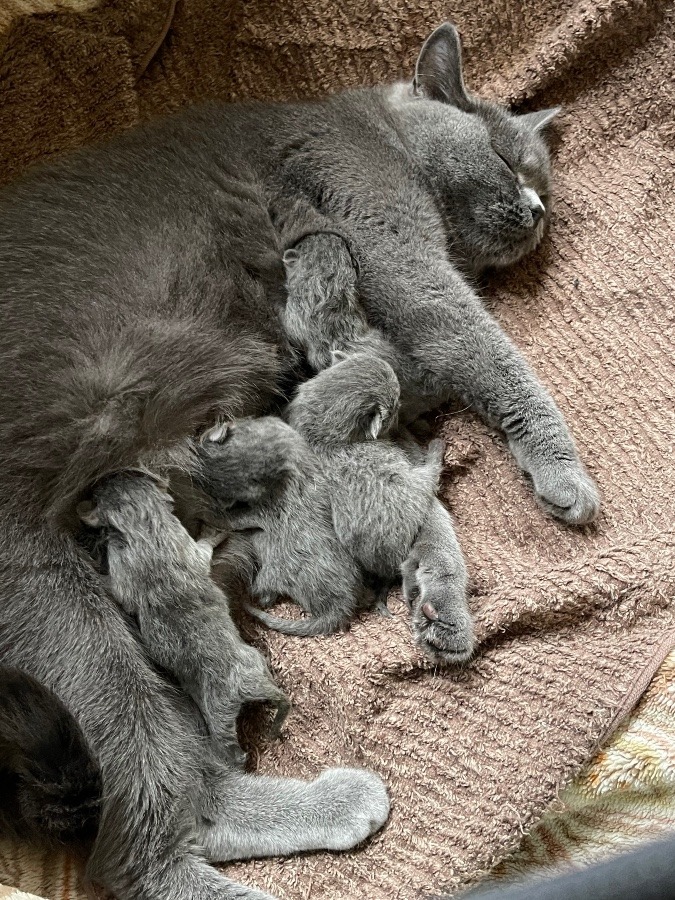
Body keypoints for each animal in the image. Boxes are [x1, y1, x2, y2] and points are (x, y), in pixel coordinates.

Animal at [79, 472, 290, 768]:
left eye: (101, 494)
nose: (105, 477)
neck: (146, 526)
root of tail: (246, 686)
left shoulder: (124, 569)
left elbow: (119, 590)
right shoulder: (185, 545)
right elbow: (201, 553)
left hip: (219, 717)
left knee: (232, 750)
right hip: (256, 662)